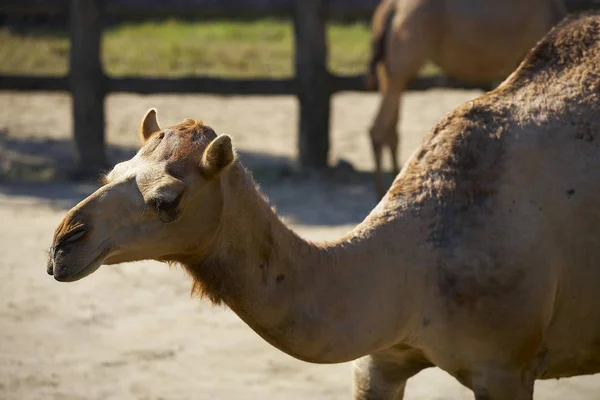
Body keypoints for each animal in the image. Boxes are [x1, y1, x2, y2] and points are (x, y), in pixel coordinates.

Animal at [366, 0, 568, 198]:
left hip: (391, 67)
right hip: (405, 54)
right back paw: (382, 189)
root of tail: (391, 8)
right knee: (380, 127)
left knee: (391, 124)